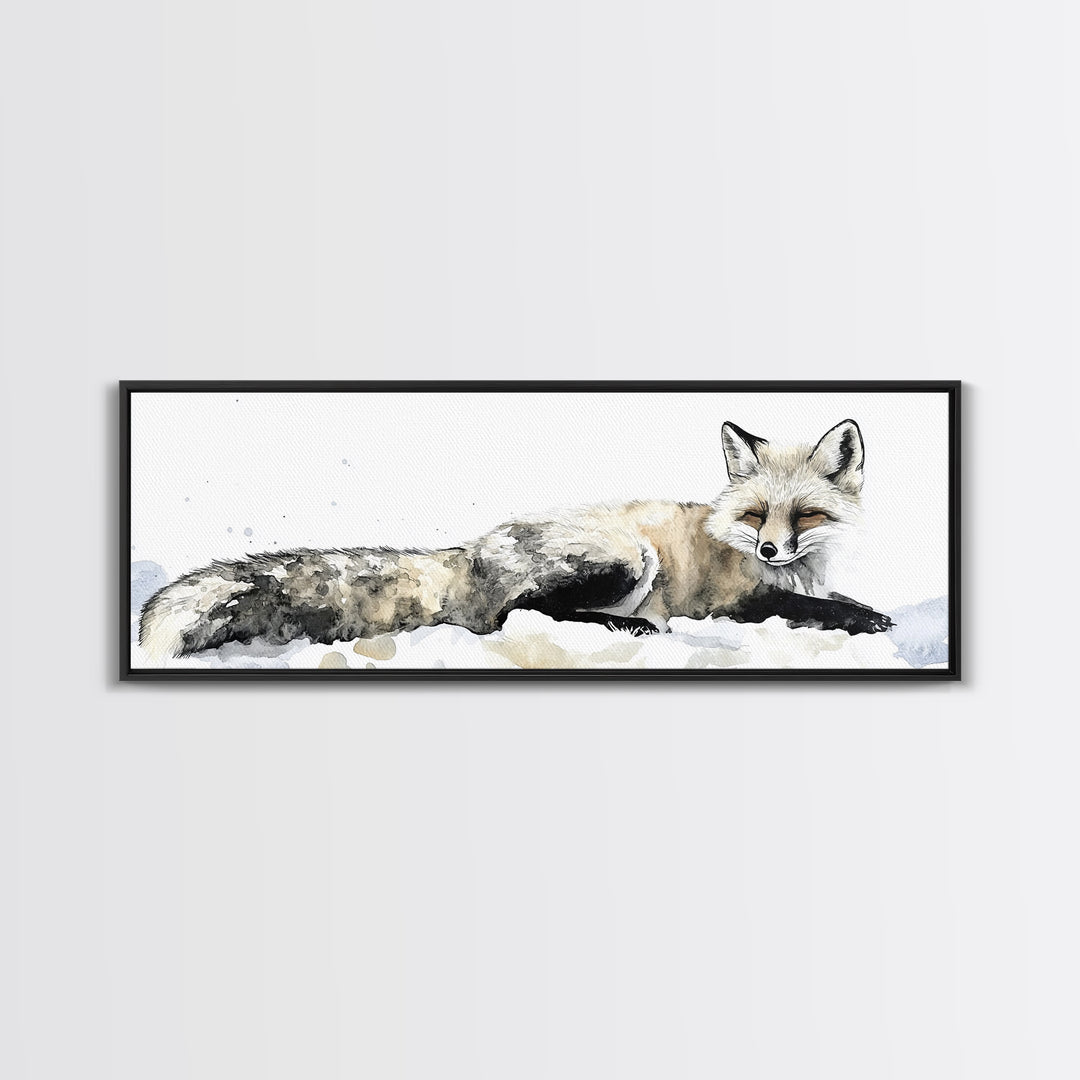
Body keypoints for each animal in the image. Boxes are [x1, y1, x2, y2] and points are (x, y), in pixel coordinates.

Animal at [138, 419, 894, 660]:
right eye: (758, 514)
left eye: (805, 517)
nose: (769, 550)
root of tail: (472, 550)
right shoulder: (734, 602)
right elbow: (812, 609)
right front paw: (868, 621)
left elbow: (836, 600)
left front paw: (866, 610)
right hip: (630, 559)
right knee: (509, 614)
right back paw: (629, 630)